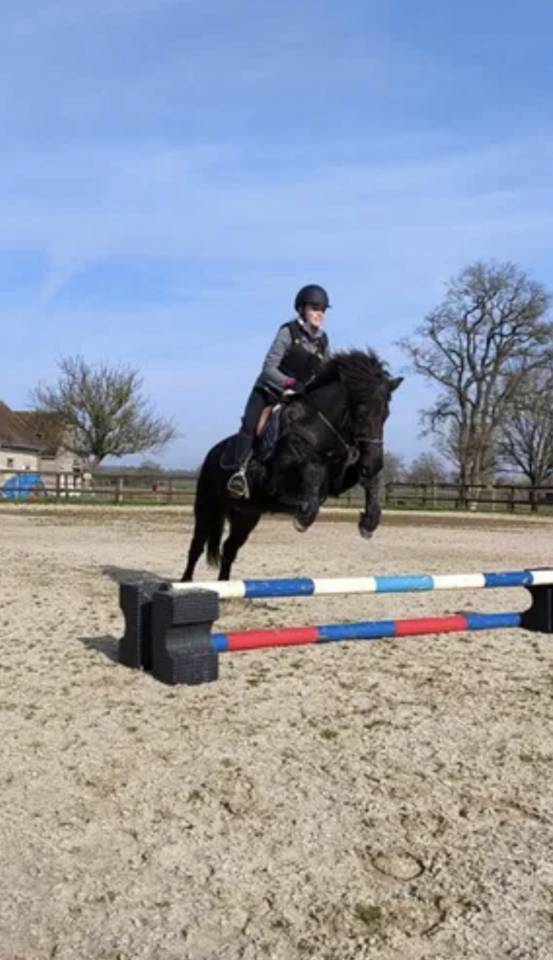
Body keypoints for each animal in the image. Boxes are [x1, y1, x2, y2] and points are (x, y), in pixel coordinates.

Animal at [181, 349, 402, 581]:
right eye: (361, 413)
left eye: (386, 415)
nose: (373, 463)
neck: (318, 425)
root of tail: (211, 454)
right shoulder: (281, 477)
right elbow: (313, 469)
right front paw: (303, 517)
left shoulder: (337, 481)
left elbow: (370, 481)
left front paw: (369, 521)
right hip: (208, 507)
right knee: (196, 546)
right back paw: (186, 581)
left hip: (246, 514)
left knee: (229, 548)